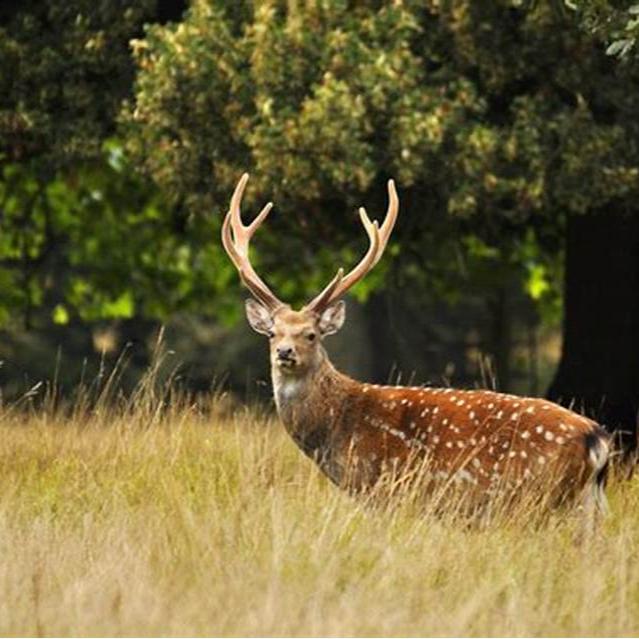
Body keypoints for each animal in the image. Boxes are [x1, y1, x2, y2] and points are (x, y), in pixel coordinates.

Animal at [222, 172, 612, 516]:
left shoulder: (384, 489)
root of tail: (597, 440)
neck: (338, 429)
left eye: (311, 334)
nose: (284, 353)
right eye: (273, 333)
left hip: (533, 498)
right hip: (588, 508)